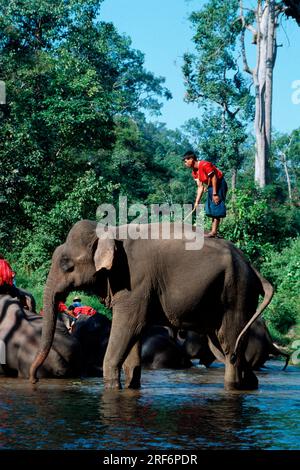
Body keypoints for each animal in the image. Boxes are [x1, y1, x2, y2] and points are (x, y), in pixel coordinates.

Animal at [29, 220, 274, 390]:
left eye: (66, 264)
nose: (33, 380)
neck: (111, 231)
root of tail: (252, 268)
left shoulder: (135, 282)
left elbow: (128, 327)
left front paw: (112, 388)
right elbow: (134, 335)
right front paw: (130, 387)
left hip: (236, 292)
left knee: (231, 346)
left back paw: (232, 387)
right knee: (229, 347)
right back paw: (250, 385)